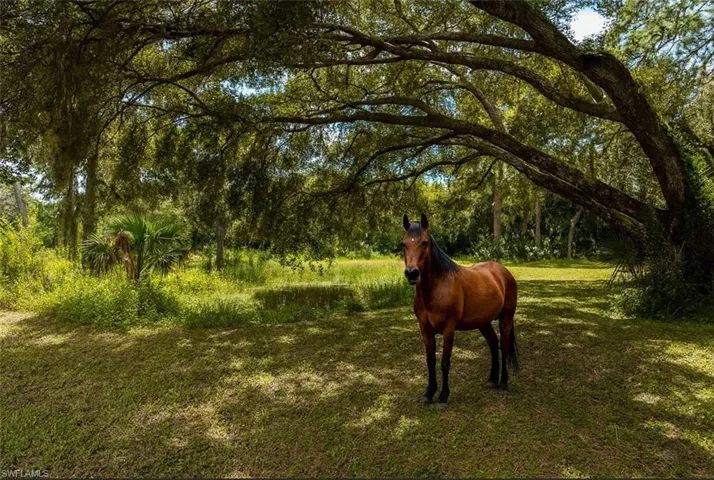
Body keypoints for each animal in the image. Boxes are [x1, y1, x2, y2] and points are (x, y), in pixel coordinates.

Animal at [402, 213, 519, 408]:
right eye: (403, 243)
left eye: (424, 243)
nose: (412, 273)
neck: (437, 288)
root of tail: (502, 271)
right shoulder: (425, 330)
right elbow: (430, 361)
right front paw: (429, 393)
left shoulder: (449, 329)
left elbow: (445, 362)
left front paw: (443, 396)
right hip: (483, 322)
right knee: (493, 343)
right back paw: (492, 380)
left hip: (506, 319)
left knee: (504, 346)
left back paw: (503, 383)